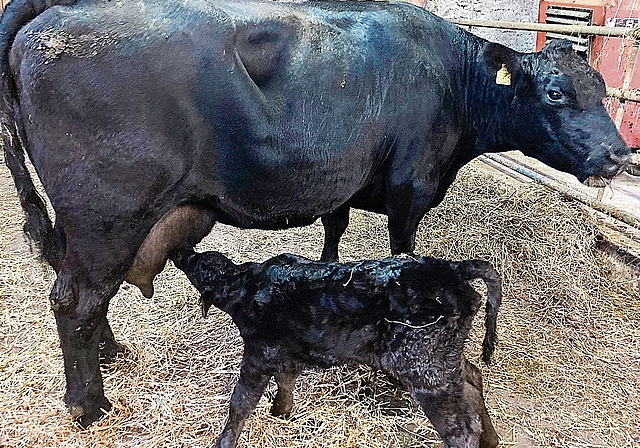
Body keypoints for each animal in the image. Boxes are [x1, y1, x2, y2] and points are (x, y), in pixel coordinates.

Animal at [0, 0, 629, 426]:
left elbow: (333, 238)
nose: (619, 155)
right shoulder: (410, 190)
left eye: (602, 91)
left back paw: (111, 354)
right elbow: (402, 254)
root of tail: (52, 14)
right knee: (76, 299)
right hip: (107, 218)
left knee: (85, 293)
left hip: (89, 227)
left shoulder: (342, 186)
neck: (452, 81)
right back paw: (89, 403)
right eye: (555, 93)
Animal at [173, 248, 502, 448]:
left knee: (462, 427)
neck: (245, 285)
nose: (182, 253)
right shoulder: (287, 351)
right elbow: (286, 380)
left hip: (424, 369)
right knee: (473, 377)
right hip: (444, 360)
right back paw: (492, 438)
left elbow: (241, 402)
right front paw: (282, 412)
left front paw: (224, 440)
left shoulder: (258, 353)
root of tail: (452, 269)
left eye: (197, 265)